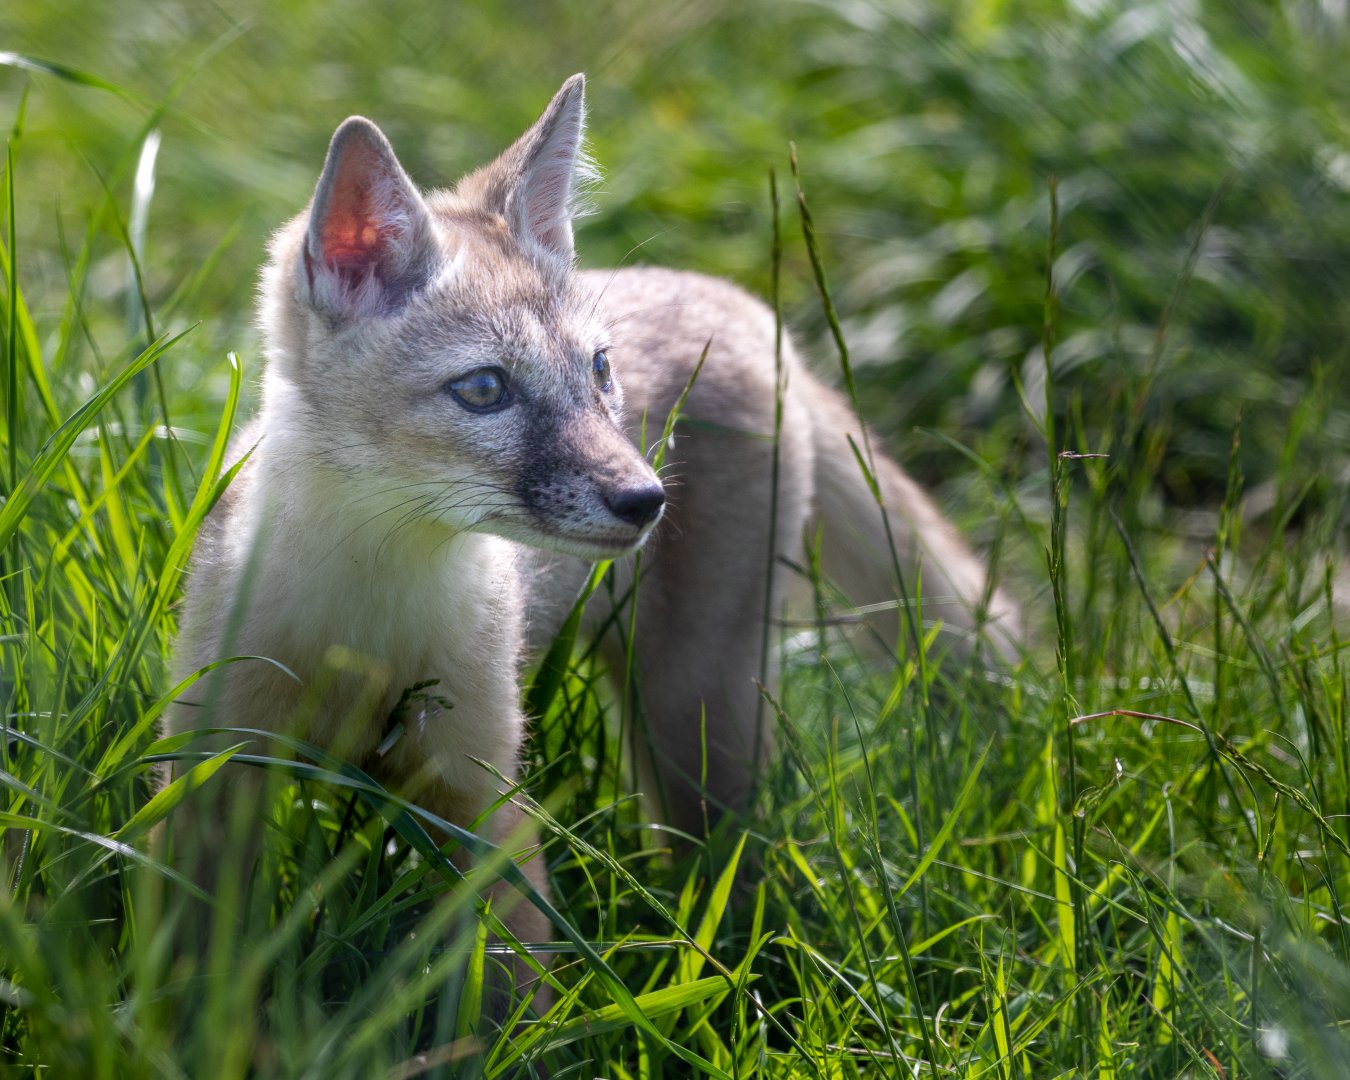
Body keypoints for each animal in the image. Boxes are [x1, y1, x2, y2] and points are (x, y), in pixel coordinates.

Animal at [168, 73, 1019, 986]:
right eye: (484, 390)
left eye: (600, 371)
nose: (646, 499)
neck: (360, 632)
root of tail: (737, 299)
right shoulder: (207, 770)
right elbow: (191, 973)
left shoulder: (484, 791)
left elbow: (510, 995)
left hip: (694, 716)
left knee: (727, 874)